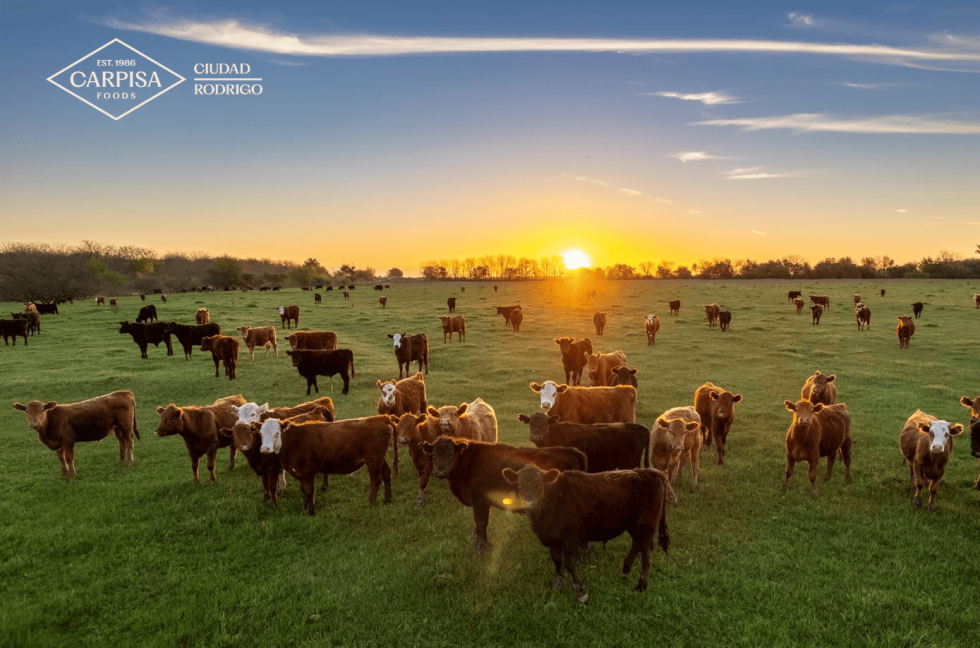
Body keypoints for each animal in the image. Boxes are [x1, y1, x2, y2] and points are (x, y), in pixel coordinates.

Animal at [12, 388, 140, 478]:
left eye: (43, 410)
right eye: (27, 411)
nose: (35, 424)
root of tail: (124, 392)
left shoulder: (68, 442)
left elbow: (69, 458)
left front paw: (72, 475)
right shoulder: (58, 444)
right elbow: (61, 458)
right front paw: (64, 474)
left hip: (126, 426)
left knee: (129, 442)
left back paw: (129, 462)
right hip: (117, 427)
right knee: (122, 443)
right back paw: (121, 462)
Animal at [260, 416, 402, 516]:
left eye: (277, 433)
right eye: (261, 434)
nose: (265, 449)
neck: (296, 439)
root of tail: (380, 418)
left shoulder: (308, 471)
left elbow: (309, 491)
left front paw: (310, 511)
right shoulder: (301, 473)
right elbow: (304, 490)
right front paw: (305, 508)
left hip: (373, 460)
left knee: (376, 479)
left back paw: (370, 503)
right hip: (380, 458)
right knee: (387, 473)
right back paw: (387, 500)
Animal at [420, 436, 584, 552]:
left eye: (450, 454)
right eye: (433, 455)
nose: (440, 472)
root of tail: (571, 451)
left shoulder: (480, 501)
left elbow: (481, 523)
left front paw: (481, 549)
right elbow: (477, 524)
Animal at [502, 464, 668, 604]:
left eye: (540, 485)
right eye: (520, 485)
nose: (529, 503)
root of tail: (649, 471)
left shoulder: (571, 537)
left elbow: (570, 563)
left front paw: (581, 592)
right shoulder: (553, 539)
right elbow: (558, 562)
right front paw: (558, 585)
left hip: (646, 526)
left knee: (647, 553)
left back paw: (641, 586)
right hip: (634, 526)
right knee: (637, 544)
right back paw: (625, 570)